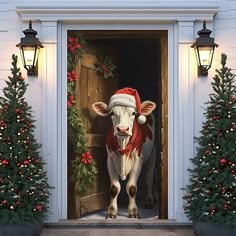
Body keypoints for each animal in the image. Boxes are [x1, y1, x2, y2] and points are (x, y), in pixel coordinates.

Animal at [92, 87, 157, 218]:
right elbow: (114, 188)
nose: (122, 129)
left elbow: (131, 187)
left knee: (149, 177)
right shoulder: (110, 159)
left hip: (153, 152)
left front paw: (133, 211)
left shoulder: (138, 159)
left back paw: (149, 201)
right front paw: (111, 211)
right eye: (111, 113)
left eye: (133, 113)